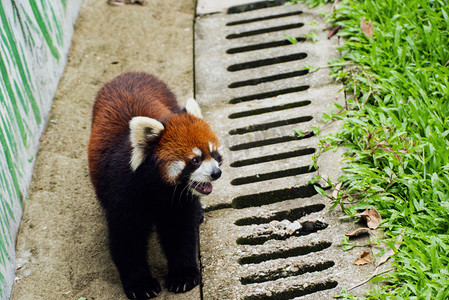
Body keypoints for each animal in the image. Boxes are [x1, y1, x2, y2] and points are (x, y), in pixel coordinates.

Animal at [86, 72, 221, 298]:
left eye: (214, 153)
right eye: (195, 160)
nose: (216, 173)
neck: (157, 189)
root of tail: (129, 73)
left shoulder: (177, 202)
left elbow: (179, 231)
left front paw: (183, 275)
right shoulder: (122, 193)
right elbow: (127, 238)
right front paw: (140, 284)